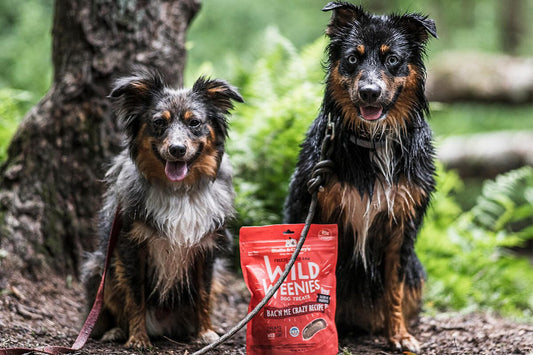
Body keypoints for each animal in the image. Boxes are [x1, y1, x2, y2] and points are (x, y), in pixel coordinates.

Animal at [81, 68, 243, 350]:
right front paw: (137, 337)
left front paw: (205, 332)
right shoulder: (130, 245)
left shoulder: (206, 249)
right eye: (159, 122)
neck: (178, 190)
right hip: (98, 268)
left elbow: (203, 293)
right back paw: (116, 330)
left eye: (194, 123)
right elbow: (135, 296)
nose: (177, 150)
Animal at [282, 2, 436, 354]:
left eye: (392, 59)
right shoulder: (321, 213)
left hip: (417, 272)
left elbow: (393, 287)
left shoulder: (402, 226)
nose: (369, 92)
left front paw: (399, 334)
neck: (374, 141)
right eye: (353, 58)